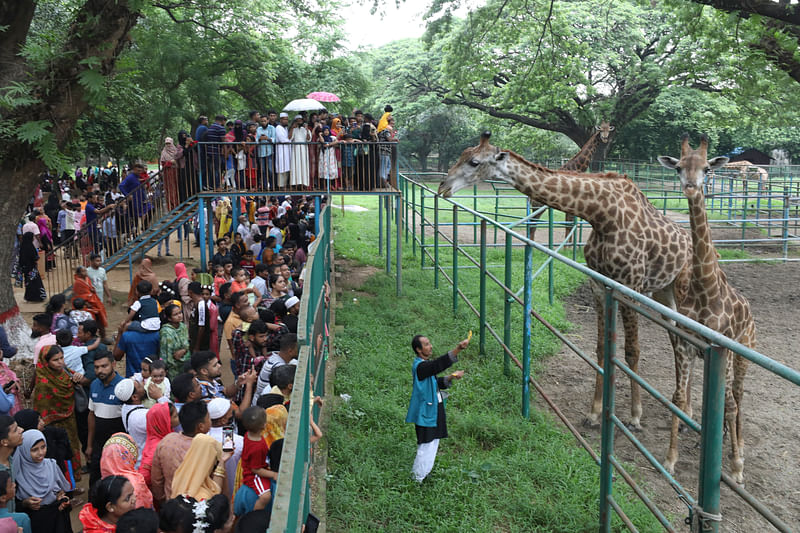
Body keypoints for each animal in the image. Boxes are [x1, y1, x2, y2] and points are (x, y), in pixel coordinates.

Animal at [438, 133, 692, 432]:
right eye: (463, 155)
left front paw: (635, 416)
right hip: (664, 291)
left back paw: (684, 413)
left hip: (683, 293)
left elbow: (632, 352)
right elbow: (602, 350)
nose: (443, 186)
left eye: (474, 161)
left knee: (688, 343)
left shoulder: (630, 286)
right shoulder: (600, 286)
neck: (600, 213)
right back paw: (681, 411)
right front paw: (594, 413)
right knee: (680, 342)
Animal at [656, 136, 752, 482]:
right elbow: (679, 396)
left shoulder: (723, 349)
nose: (691, 186)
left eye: (708, 168)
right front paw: (670, 461)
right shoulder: (688, 345)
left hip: (743, 354)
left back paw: (738, 454)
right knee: (725, 401)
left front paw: (736, 468)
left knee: (737, 399)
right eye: (679, 167)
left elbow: (731, 405)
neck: (703, 288)